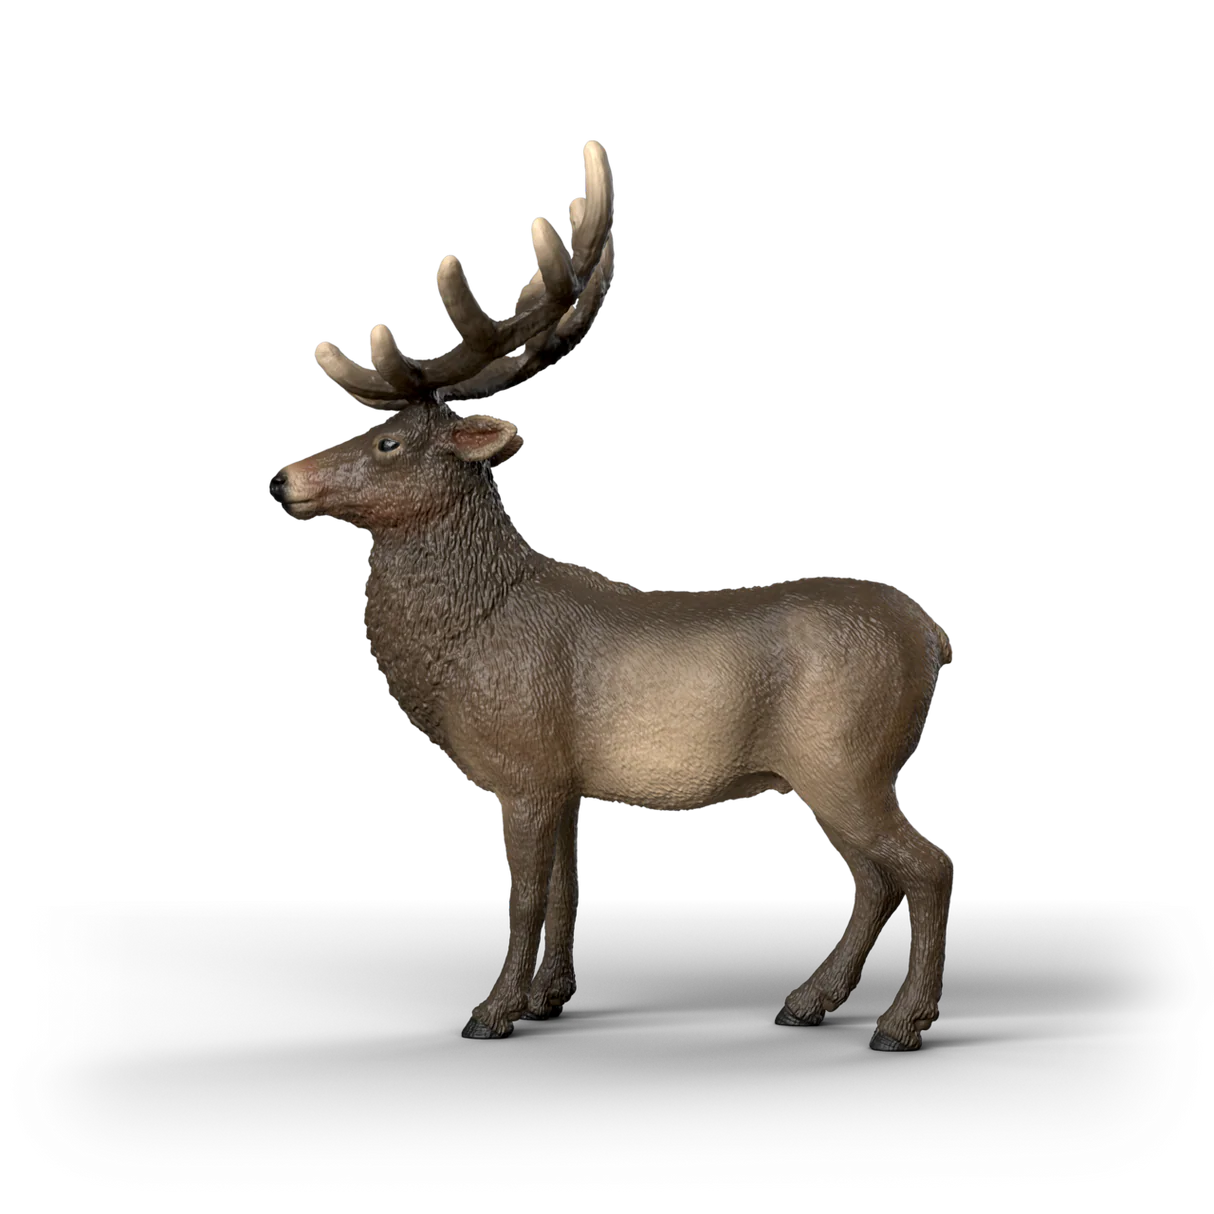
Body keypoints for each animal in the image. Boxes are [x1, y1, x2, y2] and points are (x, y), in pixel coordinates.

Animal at [273, 141, 955, 1048]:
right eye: (367, 427)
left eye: (387, 442)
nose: (283, 479)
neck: (458, 651)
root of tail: (936, 637)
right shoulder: (568, 779)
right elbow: (569, 892)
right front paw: (552, 994)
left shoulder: (523, 766)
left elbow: (525, 897)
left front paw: (493, 1009)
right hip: (840, 771)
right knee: (876, 880)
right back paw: (810, 1000)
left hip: (848, 758)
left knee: (926, 869)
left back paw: (900, 1022)